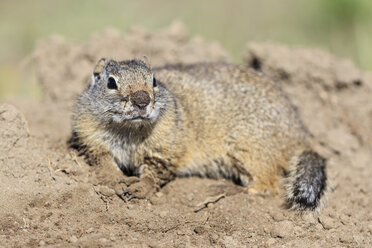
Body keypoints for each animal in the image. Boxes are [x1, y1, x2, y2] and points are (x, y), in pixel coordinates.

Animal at [72, 58, 328, 211]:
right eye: (110, 82)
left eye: (154, 80)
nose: (142, 100)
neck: (128, 130)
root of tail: (299, 136)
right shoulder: (90, 137)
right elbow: (103, 163)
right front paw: (114, 181)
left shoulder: (166, 146)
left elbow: (156, 172)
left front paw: (139, 188)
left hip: (249, 149)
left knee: (267, 186)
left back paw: (226, 190)